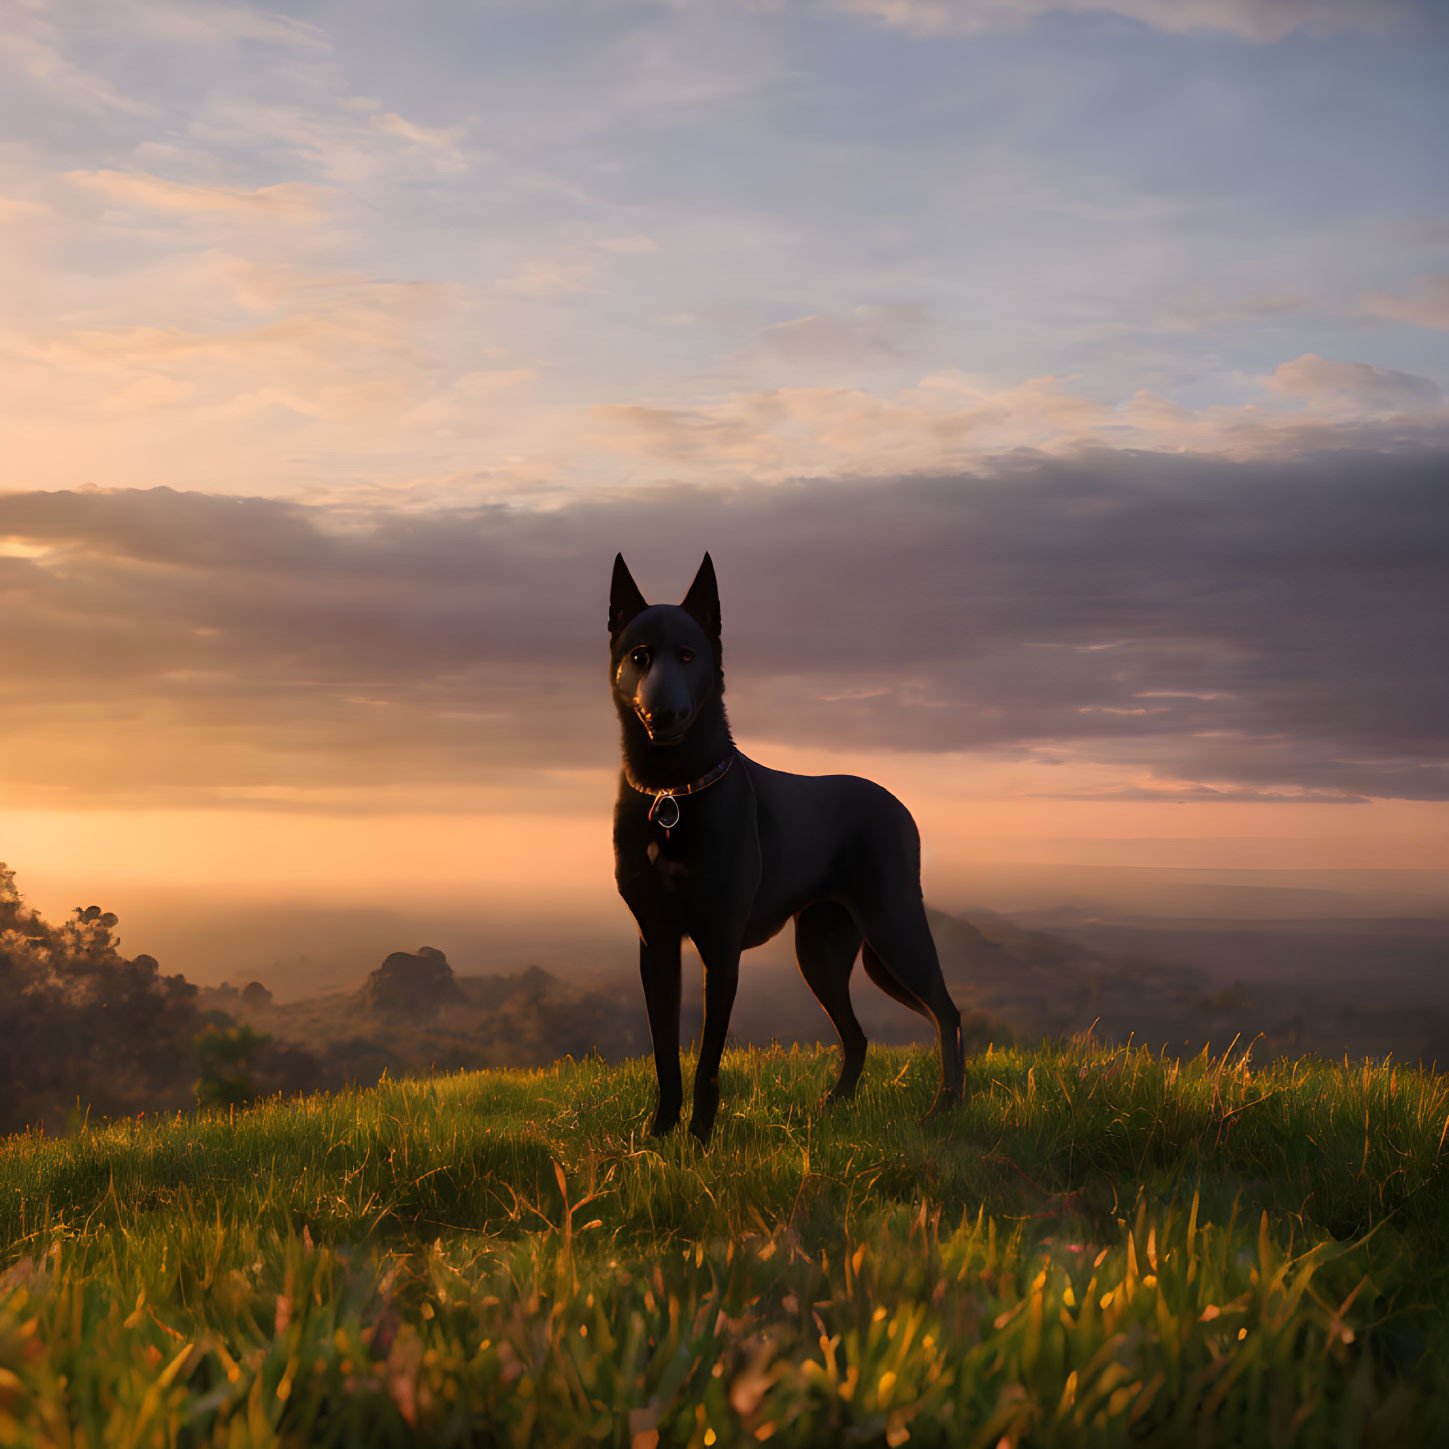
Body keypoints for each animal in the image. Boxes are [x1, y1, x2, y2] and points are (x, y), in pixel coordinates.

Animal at [608, 550, 962, 1141]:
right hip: (821, 952)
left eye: (688, 655)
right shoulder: (655, 945)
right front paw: (658, 1137)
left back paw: (944, 1111)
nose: (664, 715)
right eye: (640, 657)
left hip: (894, 931)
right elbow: (664, 1055)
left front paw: (698, 1141)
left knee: (947, 1013)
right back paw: (835, 1107)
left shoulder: (719, 949)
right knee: (858, 1035)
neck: (671, 791)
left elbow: (706, 1064)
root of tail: (897, 804)